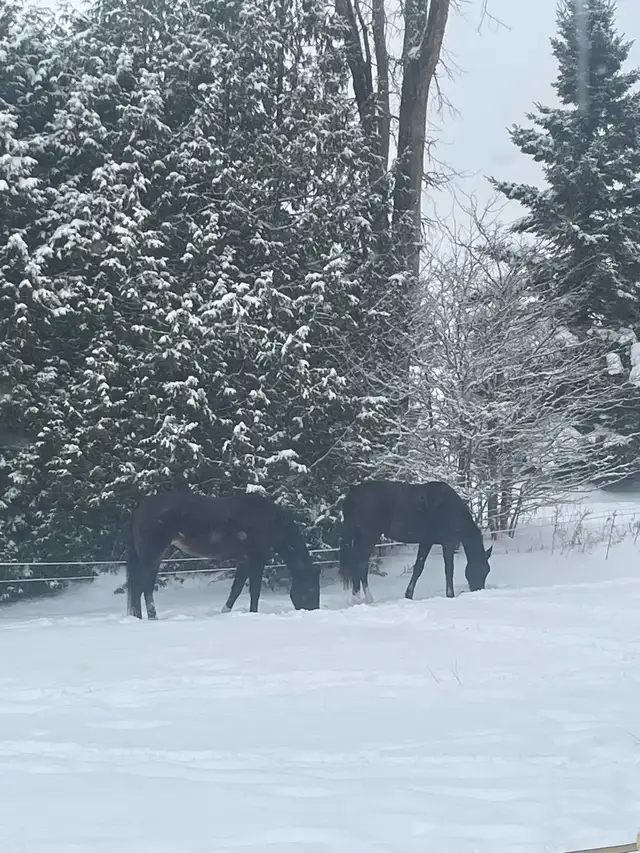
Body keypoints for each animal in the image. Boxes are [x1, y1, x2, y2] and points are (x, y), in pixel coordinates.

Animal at [125, 490, 320, 619]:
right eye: (311, 589)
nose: (313, 610)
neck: (273, 521)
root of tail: (140, 506)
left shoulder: (244, 561)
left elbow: (236, 590)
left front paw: (225, 612)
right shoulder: (256, 559)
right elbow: (254, 591)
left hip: (156, 557)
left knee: (146, 587)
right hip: (151, 554)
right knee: (138, 585)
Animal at [338, 479, 492, 604]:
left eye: (487, 571)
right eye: (480, 569)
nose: (478, 590)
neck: (451, 510)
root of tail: (352, 495)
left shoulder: (426, 542)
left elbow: (418, 568)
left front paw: (408, 595)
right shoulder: (448, 543)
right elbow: (449, 570)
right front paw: (450, 595)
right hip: (368, 536)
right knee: (359, 564)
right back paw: (362, 599)